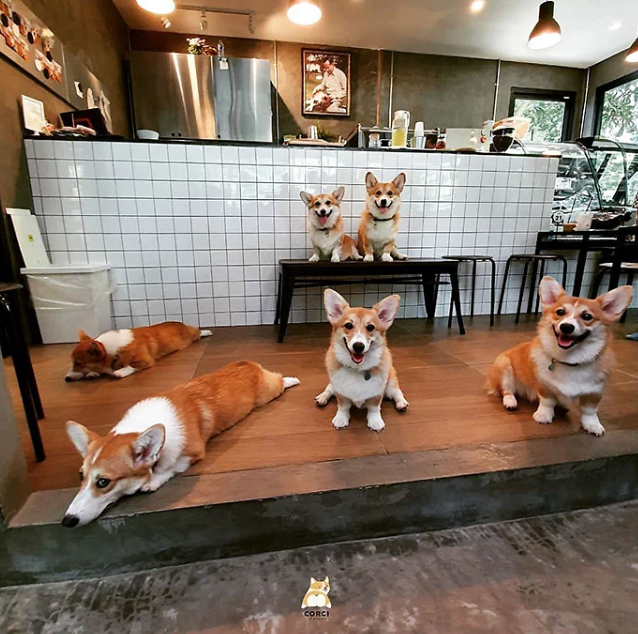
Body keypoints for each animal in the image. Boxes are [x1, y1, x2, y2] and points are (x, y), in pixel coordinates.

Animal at [62, 361, 300, 526]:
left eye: (103, 482)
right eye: (81, 476)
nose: (67, 521)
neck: (141, 425)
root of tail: (247, 363)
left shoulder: (193, 452)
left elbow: (170, 467)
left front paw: (153, 481)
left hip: (268, 393)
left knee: (279, 379)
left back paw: (292, 380)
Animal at [65, 321, 212, 381]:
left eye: (78, 363)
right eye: (73, 362)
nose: (66, 379)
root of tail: (180, 323)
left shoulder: (145, 360)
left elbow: (131, 366)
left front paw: (120, 372)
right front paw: (93, 373)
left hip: (192, 335)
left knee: (198, 331)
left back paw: (207, 331)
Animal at [316, 289, 408, 431]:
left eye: (370, 327)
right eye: (348, 325)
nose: (358, 346)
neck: (357, 368)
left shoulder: (377, 393)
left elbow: (374, 408)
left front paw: (375, 421)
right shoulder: (340, 391)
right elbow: (342, 406)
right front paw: (341, 419)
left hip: (391, 383)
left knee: (397, 392)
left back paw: (401, 403)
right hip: (333, 384)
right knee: (329, 389)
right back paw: (322, 397)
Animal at [487, 276, 633, 436]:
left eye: (587, 316)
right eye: (560, 312)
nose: (566, 327)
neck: (570, 360)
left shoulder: (595, 391)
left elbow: (589, 411)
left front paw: (593, 425)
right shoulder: (544, 385)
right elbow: (547, 401)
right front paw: (543, 415)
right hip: (504, 367)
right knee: (507, 390)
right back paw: (511, 402)